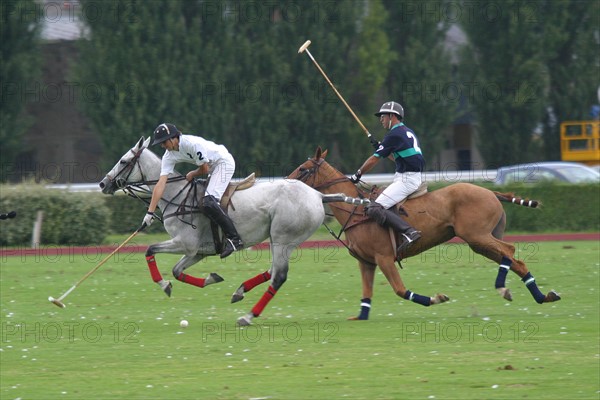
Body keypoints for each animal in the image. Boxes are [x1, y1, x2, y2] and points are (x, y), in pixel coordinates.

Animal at [98, 138, 366, 324]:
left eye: (123, 161)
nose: (103, 184)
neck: (176, 196)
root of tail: (319, 195)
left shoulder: (185, 243)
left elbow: (149, 250)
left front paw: (164, 285)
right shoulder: (198, 251)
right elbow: (177, 271)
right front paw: (210, 278)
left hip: (283, 238)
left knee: (278, 276)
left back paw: (248, 316)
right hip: (278, 240)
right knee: (272, 271)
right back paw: (240, 292)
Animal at [268, 146, 556, 318]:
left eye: (304, 168)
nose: (284, 183)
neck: (356, 210)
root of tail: (492, 192)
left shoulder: (384, 257)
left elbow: (399, 289)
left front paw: (435, 299)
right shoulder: (366, 262)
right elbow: (366, 295)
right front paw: (360, 316)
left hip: (478, 236)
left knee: (510, 250)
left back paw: (504, 288)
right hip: (481, 240)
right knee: (515, 260)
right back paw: (541, 295)